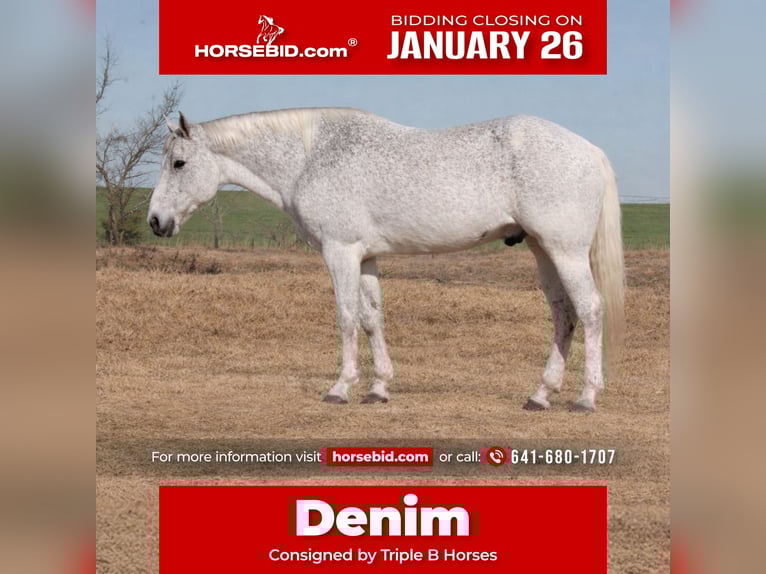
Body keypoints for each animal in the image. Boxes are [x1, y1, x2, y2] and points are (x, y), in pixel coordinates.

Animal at [148, 108, 624, 412]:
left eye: (179, 163)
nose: (156, 221)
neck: (309, 158)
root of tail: (588, 149)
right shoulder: (365, 257)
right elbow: (371, 318)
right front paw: (378, 388)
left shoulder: (339, 251)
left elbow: (345, 317)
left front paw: (340, 388)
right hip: (543, 249)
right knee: (563, 314)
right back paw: (541, 395)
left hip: (564, 250)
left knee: (590, 310)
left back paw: (586, 397)